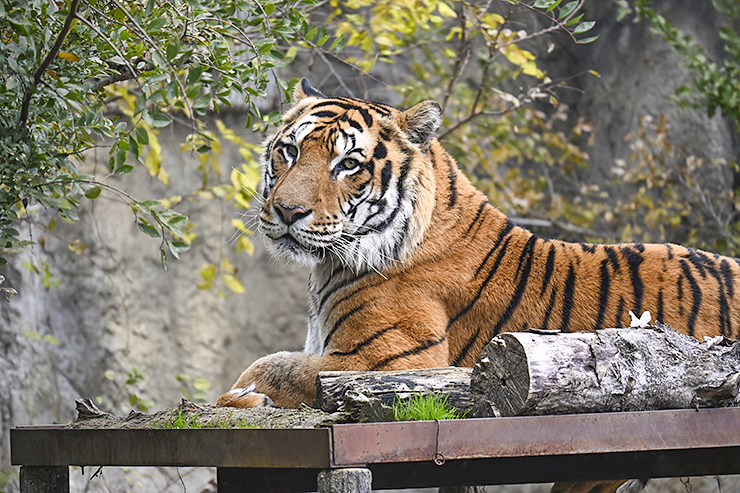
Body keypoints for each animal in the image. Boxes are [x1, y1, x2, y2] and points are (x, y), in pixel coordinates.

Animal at [217, 78, 740, 412]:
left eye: (348, 164)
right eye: (290, 151)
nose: (288, 211)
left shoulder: (388, 363)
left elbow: (274, 366)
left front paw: (241, 396)